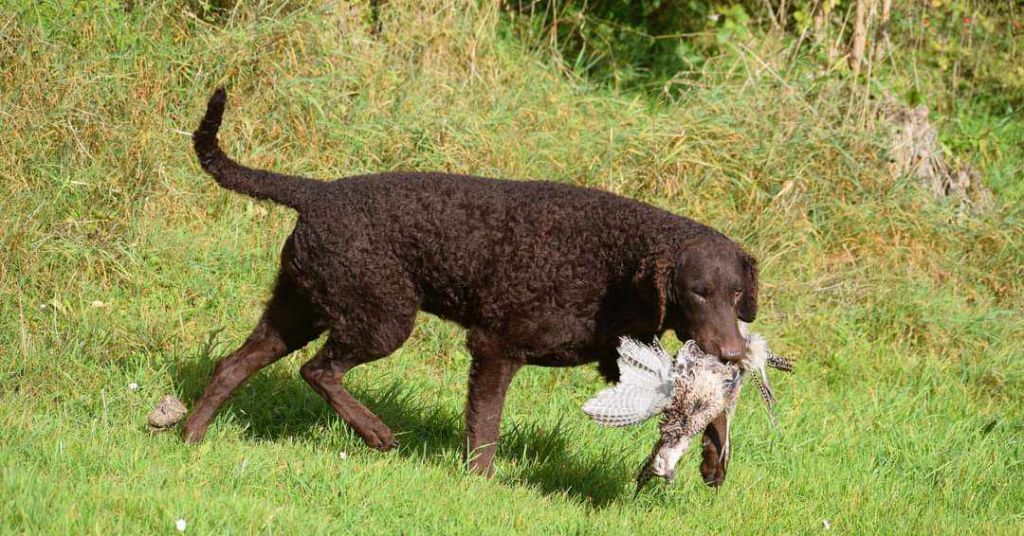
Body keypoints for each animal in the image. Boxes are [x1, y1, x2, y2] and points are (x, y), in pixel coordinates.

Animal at [180, 89, 757, 485]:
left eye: (734, 294)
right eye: (697, 291)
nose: (733, 354)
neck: (619, 262)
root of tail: (317, 193)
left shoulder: (616, 359)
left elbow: (700, 404)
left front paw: (713, 459)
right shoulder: (495, 346)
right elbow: (484, 429)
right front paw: (479, 486)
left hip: (301, 307)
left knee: (233, 365)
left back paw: (188, 436)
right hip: (382, 315)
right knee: (318, 370)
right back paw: (376, 432)